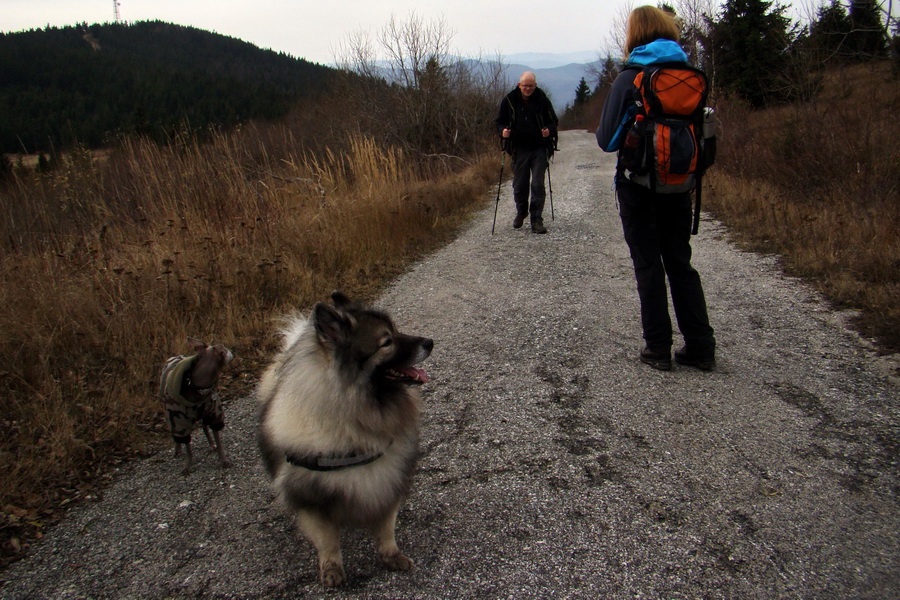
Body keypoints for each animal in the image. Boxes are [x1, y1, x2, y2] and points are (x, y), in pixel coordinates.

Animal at [160, 338, 234, 474]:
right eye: (224, 349)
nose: (232, 350)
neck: (199, 389)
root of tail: (174, 356)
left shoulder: (214, 415)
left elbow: (218, 441)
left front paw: (223, 460)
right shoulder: (180, 423)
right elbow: (188, 448)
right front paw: (187, 466)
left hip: (204, 414)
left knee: (204, 428)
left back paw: (211, 444)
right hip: (171, 419)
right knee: (177, 437)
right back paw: (177, 450)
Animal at [256, 292, 432, 588]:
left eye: (396, 330)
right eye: (386, 342)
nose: (430, 343)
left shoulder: (388, 479)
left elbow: (386, 527)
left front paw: (391, 555)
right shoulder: (312, 500)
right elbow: (328, 541)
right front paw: (331, 569)